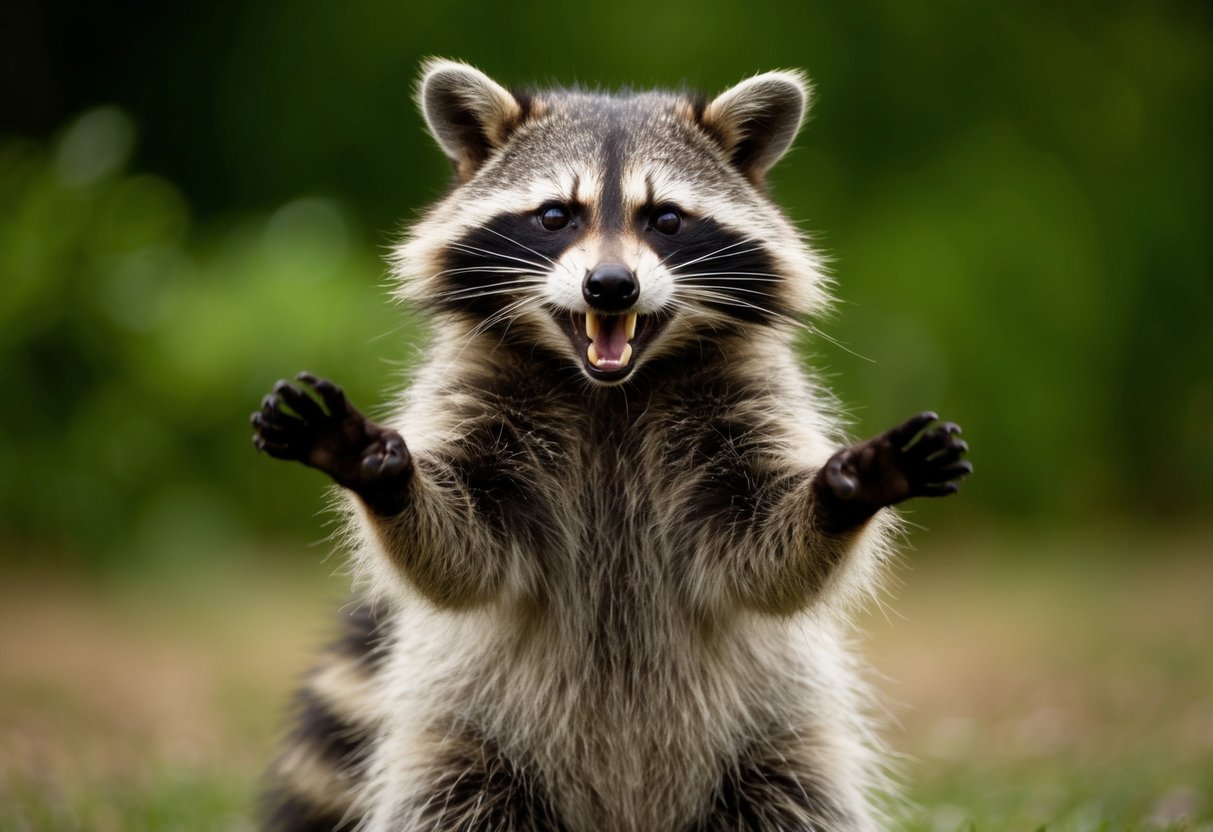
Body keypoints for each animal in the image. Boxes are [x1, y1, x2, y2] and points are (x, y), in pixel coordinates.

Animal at [251, 60, 971, 832]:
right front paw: (380, 471)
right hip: (464, 744)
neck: (610, 391)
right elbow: (464, 553)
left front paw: (849, 485)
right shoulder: (479, 392)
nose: (610, 286)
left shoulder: (745, 397)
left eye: (666, 219)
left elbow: (761, 554)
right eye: (555, 216)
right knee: (451, 800)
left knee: (796, 799)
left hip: (777, 745)